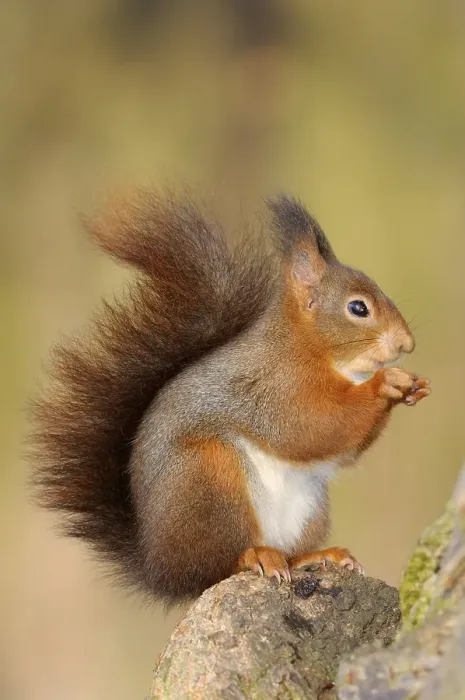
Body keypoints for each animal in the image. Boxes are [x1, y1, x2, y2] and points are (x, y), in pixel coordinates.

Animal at [30, 190, 431, 603]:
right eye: (358, 308)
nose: (407, 343)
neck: (310, 349)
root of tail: (161, 568)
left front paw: (413, 386)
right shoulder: (273, 388)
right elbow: (310, 428)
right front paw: (385, 383)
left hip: (310, 508)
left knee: (283, 554)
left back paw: (317, 556)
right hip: (210, 476)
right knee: (216, 567)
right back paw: (256, 557)